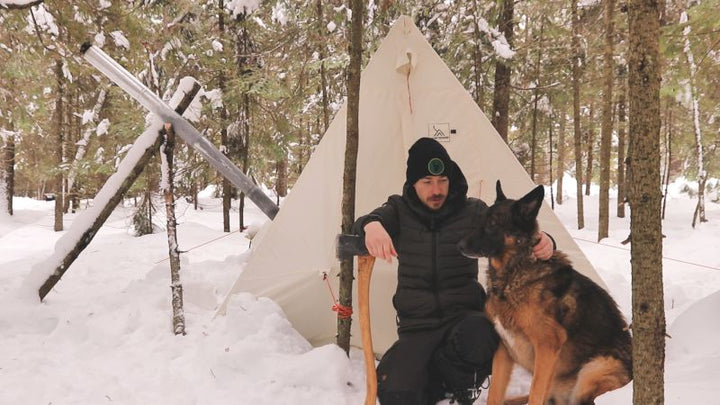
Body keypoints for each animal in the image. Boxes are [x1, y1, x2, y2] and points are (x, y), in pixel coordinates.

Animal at [458, 181, 632, 402]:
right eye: (480, 220)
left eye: (493, 224)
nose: (459, 245)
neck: (514, 274)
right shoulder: (503, 350)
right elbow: (495, 395)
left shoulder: (547, 346)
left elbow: (535, 393)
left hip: (592, 371)